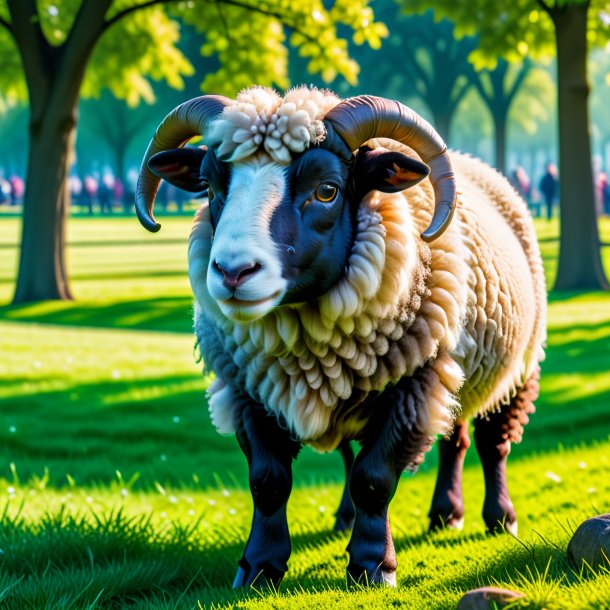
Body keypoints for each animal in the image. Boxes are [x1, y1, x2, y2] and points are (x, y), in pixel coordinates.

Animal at [135, 85, 544, 584]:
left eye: (326, 190)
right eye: (211, 187)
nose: (233, 272)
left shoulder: (414, 385)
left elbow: (374, 478)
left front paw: (372, 566)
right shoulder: (246, 390)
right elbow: (268, 481)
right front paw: (259, 567)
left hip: (516, 365)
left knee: (490, 443)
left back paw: (498, 518)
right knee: (444, 438)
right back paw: (432, 514)